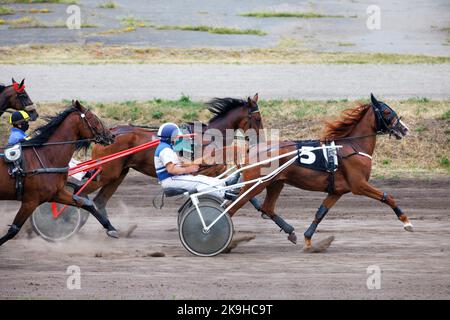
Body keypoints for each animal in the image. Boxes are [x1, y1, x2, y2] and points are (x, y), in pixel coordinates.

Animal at [0, 101, 116, 246]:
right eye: (93, 118)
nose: (111, 136)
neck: (46, 157)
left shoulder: (56, 193)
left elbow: (84, 203)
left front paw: (110, 228)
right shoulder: (30, 201)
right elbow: (13, 230)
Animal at [82, 92, 262, 218]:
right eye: (258, 119)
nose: (259, 140)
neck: (208, 137)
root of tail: (107, 134)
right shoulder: (204, 170)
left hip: (118, 174)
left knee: (99, 201)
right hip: (106, 172)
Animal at [229, 94, 412, 252]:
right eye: (387, 112)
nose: (404, 129)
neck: (353, 146)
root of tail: (252, 150)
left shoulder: (337, 191)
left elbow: (321, 213)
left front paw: (308, 240)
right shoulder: (359, 185)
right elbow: (388, 197)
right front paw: (406, 222)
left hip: (275, 183)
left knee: (266, 208)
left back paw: (290, 231)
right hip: (255, 184)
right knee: (232, 207)